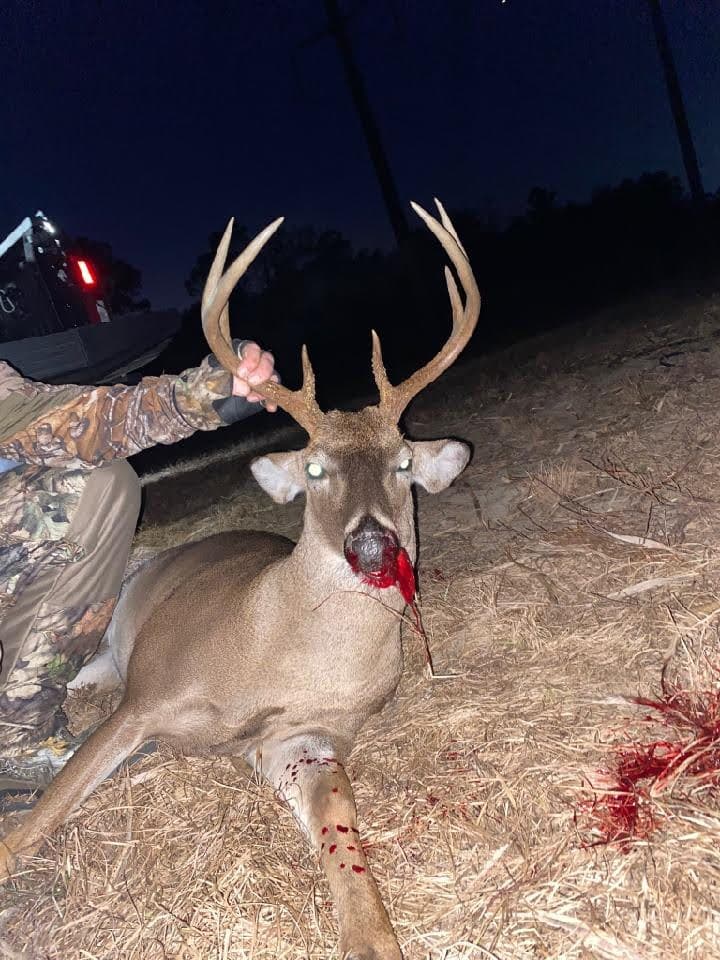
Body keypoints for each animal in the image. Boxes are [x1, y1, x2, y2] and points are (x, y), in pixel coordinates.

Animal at [0, 200, 480, 960]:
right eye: (314, 468)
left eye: (403, 461)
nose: (371, 542)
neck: (276, 652)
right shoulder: (147, 696)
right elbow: (40, 817)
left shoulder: (306, 737)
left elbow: (343, 833)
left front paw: (372, 937)